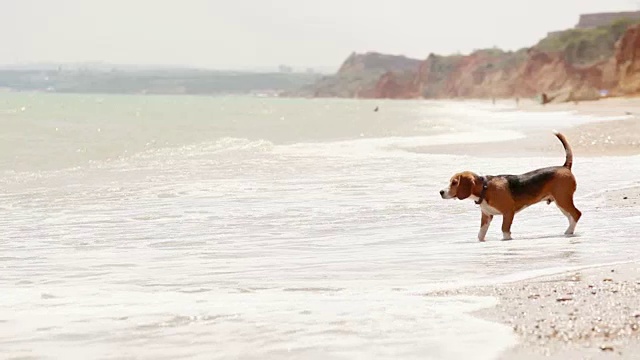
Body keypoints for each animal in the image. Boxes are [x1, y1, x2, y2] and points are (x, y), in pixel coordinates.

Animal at [440, 132, 580, 242]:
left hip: (563, 199)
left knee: (576, 214)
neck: (485, 188)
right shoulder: (486, 216)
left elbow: (504, 230)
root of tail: (564, 166)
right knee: (571, 217)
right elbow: (480, 234)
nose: (441, 192)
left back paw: (569, 232)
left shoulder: (508, 213)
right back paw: (568, 231)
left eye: (454, 183)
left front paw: (507, 240)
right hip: (560, 202)